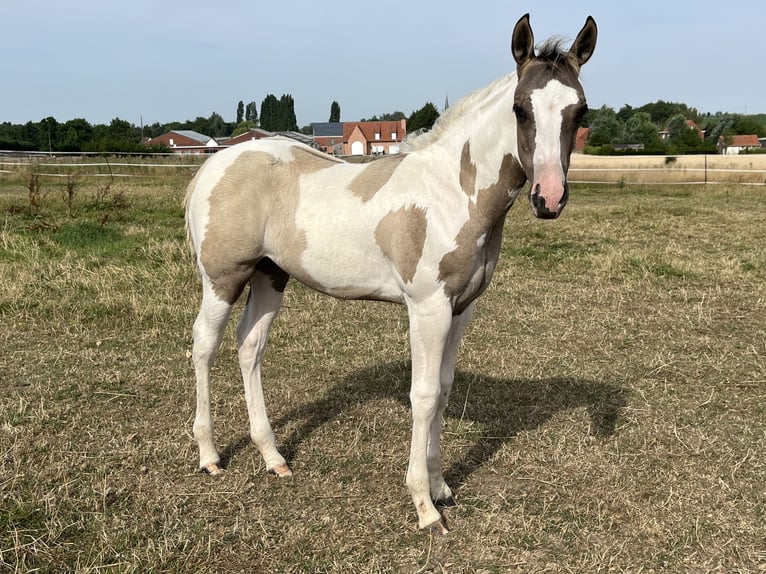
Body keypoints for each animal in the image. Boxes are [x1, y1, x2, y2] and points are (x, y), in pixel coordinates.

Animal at [184, 13, 597, 532]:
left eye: (580, 111)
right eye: (520, 109)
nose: (549, 197)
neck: (451, 191)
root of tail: (215, 164)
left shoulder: (461, 308)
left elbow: (444, 390)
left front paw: (442, 488)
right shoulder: (427, 308)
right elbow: (423, 395)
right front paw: (425, 507)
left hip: (269, 276)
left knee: (249, 347)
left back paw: (273, 457)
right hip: (223, 278)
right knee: (204, 345)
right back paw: (209, 455)